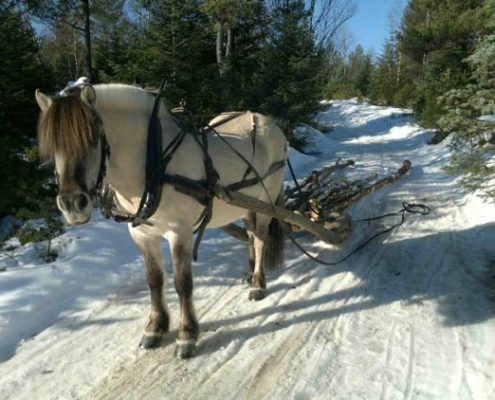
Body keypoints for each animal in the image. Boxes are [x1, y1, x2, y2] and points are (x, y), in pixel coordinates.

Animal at [35, 83, 288, 358]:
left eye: (92, 139)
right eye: (52, 147)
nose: (72, 205)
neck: (152, 162)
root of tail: (267, 121)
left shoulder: (180, 233)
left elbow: (182, 283)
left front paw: (186, 335)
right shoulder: (142, 234)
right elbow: (154, 281)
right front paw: (155, 328)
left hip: (267, 200)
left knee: (261, 239)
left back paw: (258, 284)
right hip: (244, 204)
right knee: (251, 234)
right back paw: (249, 273)